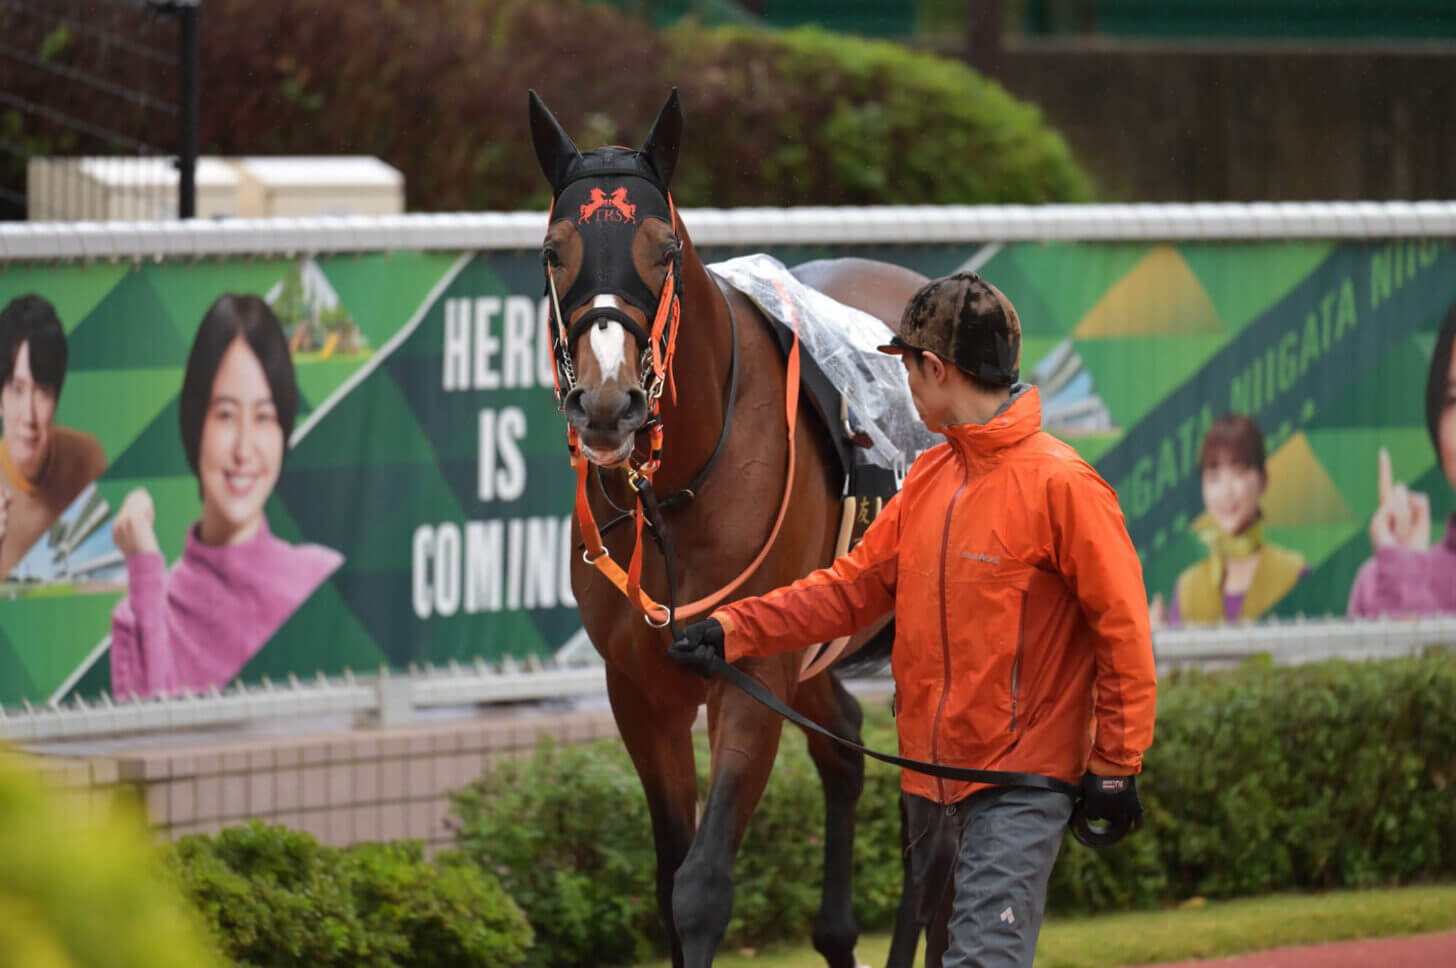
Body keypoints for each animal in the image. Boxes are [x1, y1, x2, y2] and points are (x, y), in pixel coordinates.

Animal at [529, 86, 926, 960]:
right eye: (553, 249)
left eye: (664, 249)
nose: (607, 403)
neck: (675, 495)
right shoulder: (642, 688)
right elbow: (668, 877)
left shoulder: (751, 675)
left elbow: (703, 885)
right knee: (846, 747)